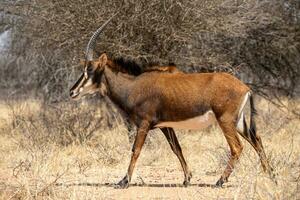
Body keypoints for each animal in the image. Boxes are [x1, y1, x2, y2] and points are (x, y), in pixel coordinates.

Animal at [69, 16, 276, 189]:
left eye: (90, 69)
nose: (72, 91)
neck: (134, 85)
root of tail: (245, 87)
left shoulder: (144, 124)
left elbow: (135, 150)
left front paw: (124, 181)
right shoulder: (165, 126)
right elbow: (177, 149)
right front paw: (187, 179)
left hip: (225, 121)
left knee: (237, 147)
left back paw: (219, 181)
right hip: (238, 121)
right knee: (256, 140)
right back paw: (270, 176)